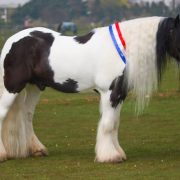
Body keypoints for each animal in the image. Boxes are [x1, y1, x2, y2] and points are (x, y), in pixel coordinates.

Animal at [0, 14, 180, 162]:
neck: (122, 49)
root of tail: (11, 41)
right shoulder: (109, 93)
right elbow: (107, 124)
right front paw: (110, 156)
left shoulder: (119, 95)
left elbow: (115, 124)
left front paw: (118, 153)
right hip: (12, 87)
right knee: (3, 114)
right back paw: (3, 155)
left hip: (34, 87)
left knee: (27, 114)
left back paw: (37, 149)